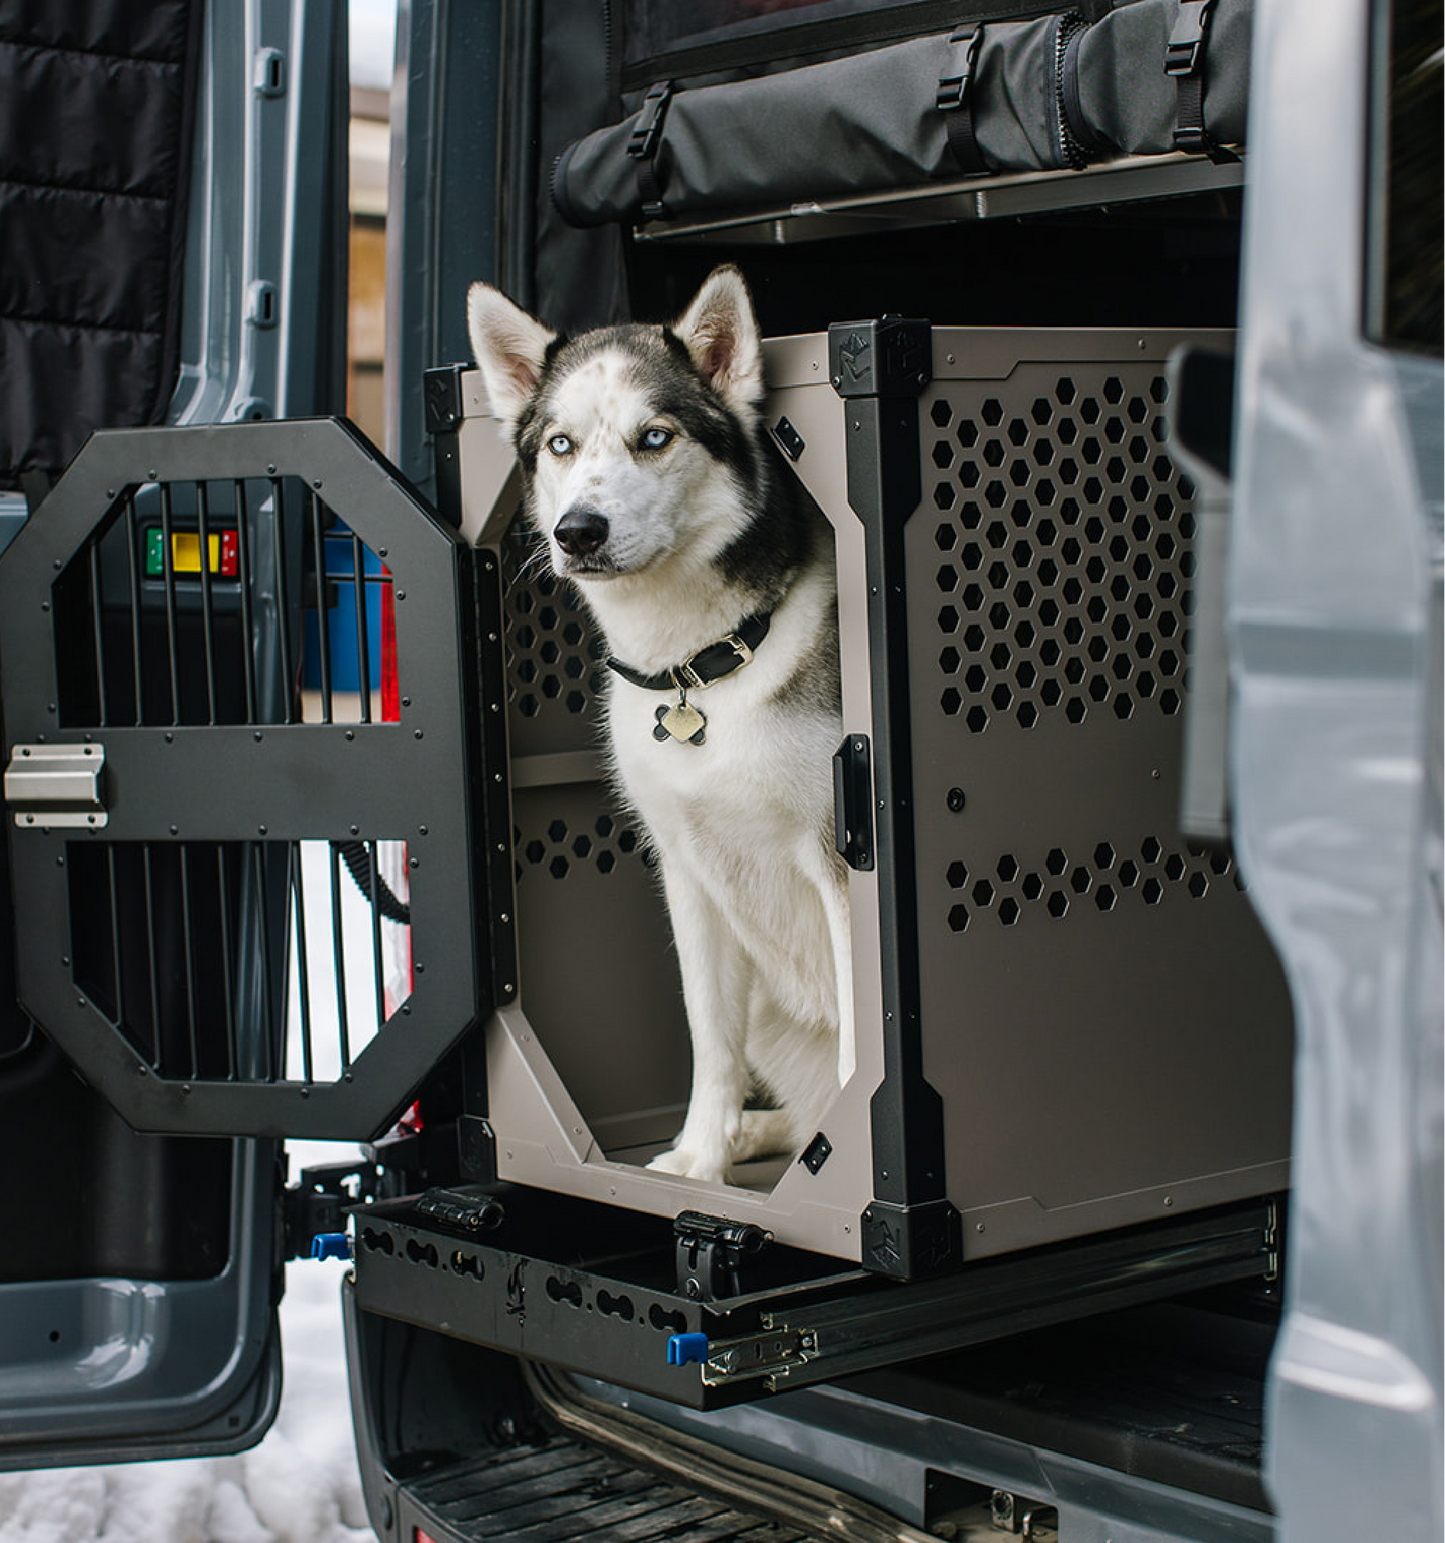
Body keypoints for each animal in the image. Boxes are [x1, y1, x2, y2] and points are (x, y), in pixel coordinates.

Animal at [466, 265, 846, 1178]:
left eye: (654, 437)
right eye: (560, 445)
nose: (577, 531)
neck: (700, 666)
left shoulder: (841, 863)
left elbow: (868, 1046)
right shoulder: (689, 871)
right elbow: (710, 1035)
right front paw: (700, 1159)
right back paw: (759, 1135)